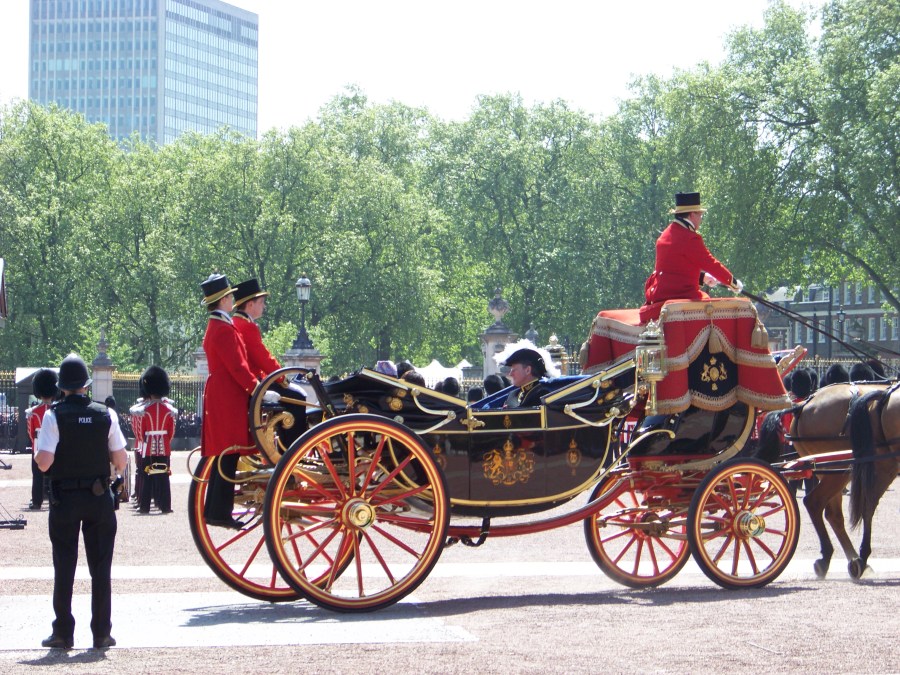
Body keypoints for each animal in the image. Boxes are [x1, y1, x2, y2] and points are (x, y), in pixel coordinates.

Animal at [757, 381, 892, 579]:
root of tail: (803, 405)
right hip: (840, 469)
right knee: (816, 502)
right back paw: (842, 558)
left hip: (831, 470)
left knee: (831, 512)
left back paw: (847, 560)